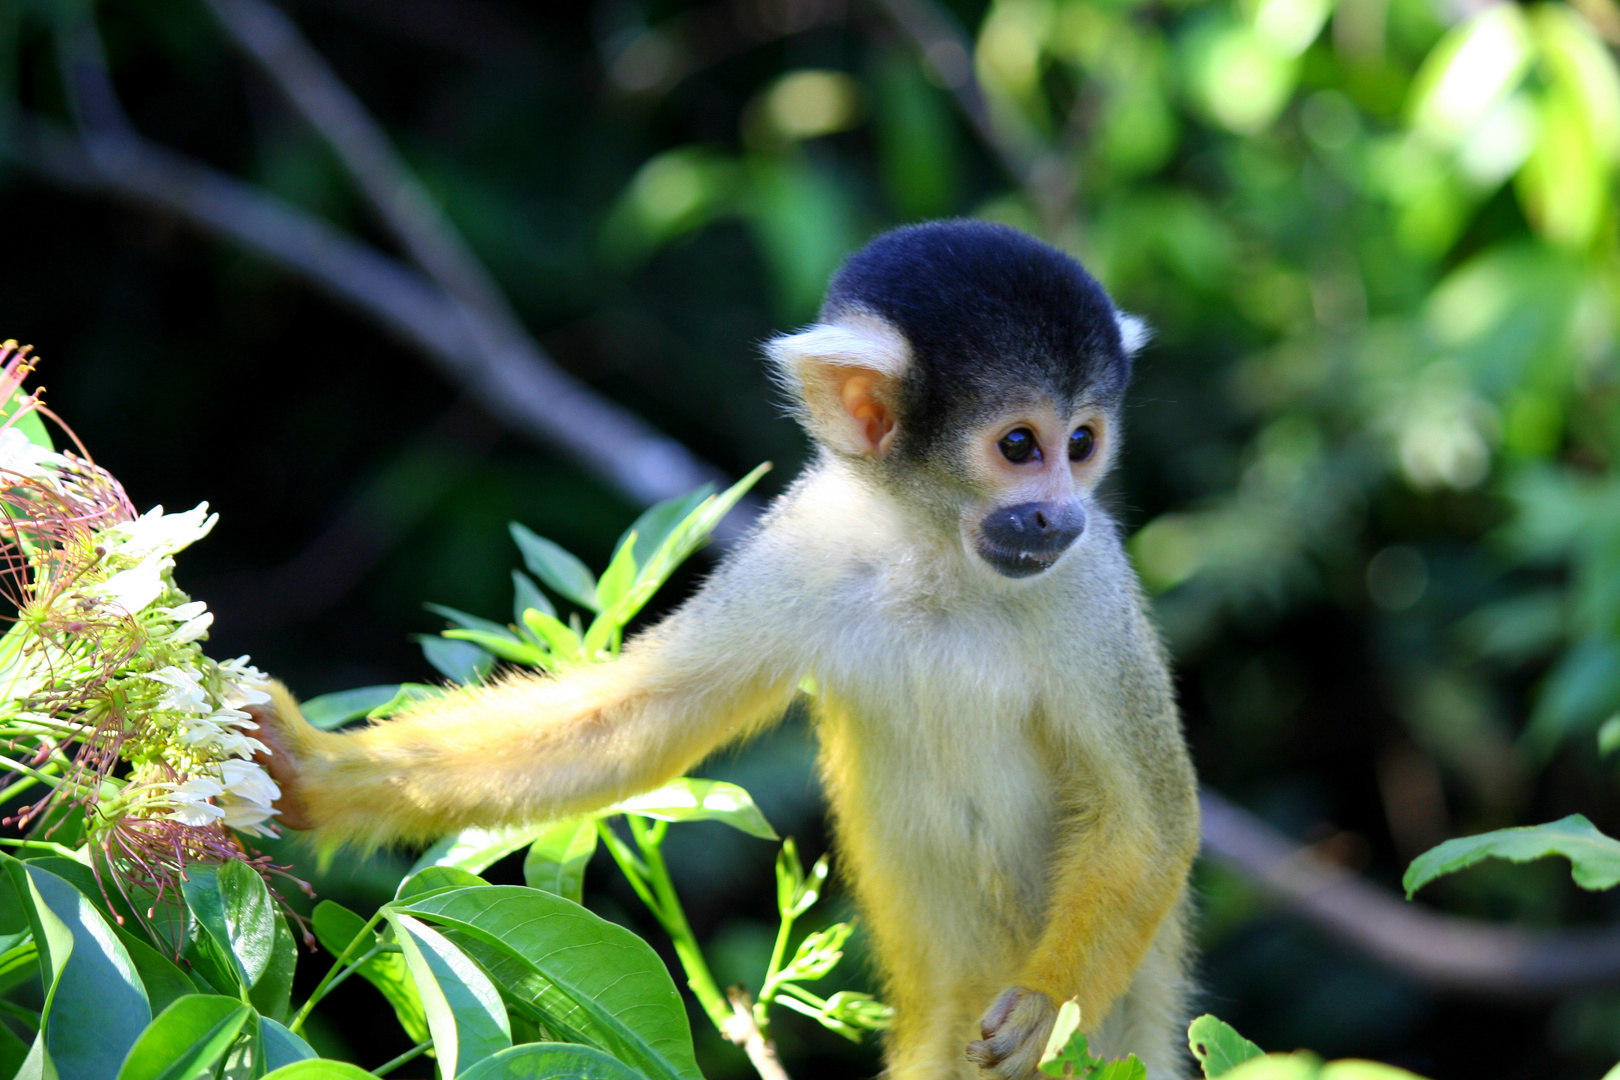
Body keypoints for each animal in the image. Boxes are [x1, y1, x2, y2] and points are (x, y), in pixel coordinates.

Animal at [249, 221, 1192, 1080]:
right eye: (1020, 445)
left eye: (1083, 444)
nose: (1057, 516)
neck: (934, 552)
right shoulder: (804, 545)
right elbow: (630, 722)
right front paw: (316, 775)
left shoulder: (1090, 585)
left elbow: (1150, 822)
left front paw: (1044, 1005)